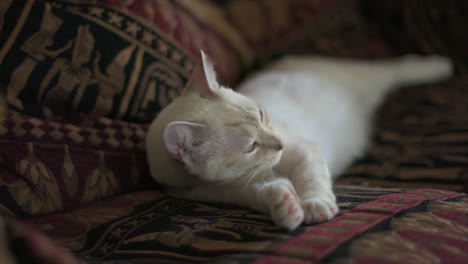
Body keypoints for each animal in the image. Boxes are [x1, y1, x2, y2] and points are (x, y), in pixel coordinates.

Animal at [146, 51, 454, 229]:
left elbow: (311, 178)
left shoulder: (304, 150)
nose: (279, 143)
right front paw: (287, 209)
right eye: (250, 147)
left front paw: (315, 205)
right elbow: (265, 193)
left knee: (397, 68)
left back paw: (441, 66)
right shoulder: (225, 193)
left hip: (367, 77)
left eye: (261, 114)